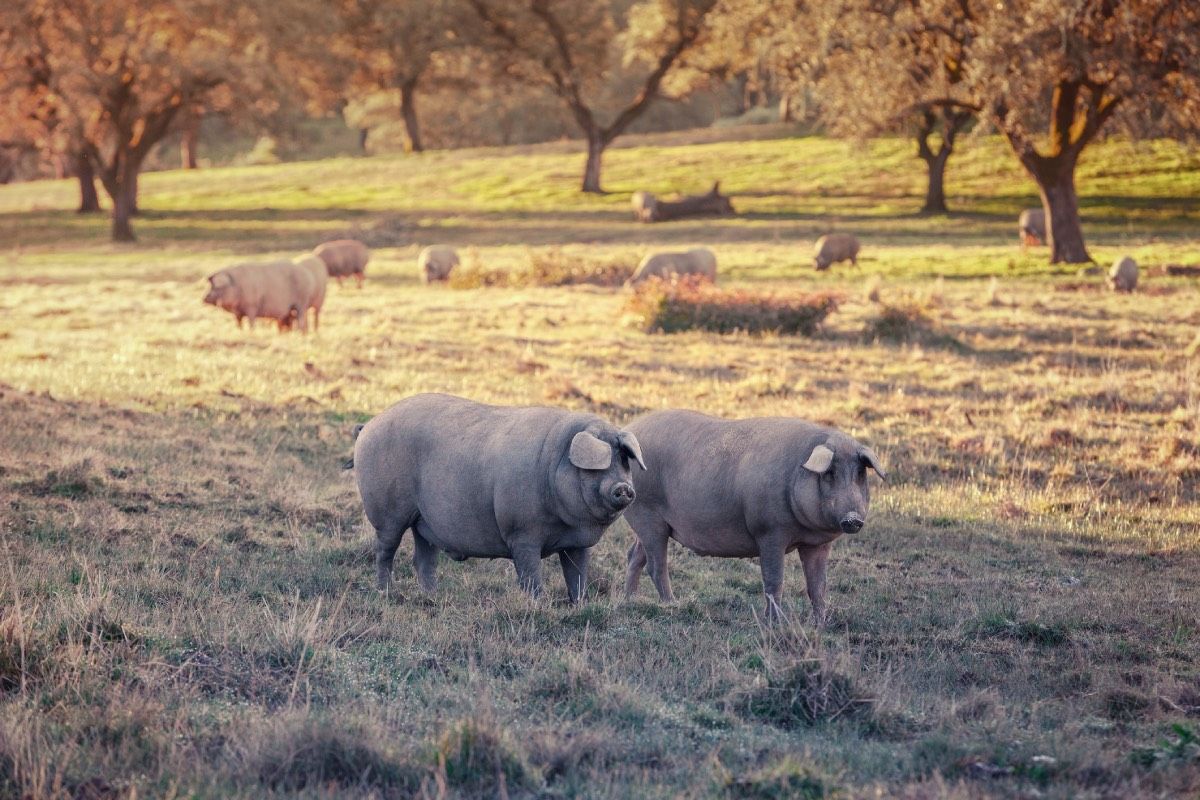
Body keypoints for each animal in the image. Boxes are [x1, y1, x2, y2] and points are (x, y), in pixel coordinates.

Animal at [352, 393, 646, 603]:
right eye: (596, 465)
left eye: (624, 460)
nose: (623, 488)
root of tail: (369, 425)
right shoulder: (522, 532)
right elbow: (530, 574)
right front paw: (538, 604)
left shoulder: (577, 544)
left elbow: (577, 575)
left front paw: (580, 604)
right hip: (387, 512)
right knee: (385, 550)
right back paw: (386, 593)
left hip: (424, 521)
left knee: (423, 559)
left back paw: (432, 597)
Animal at [622, 410, 885, 624]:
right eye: (829, 473)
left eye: (860, 473)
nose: (853, 518)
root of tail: (630, 430)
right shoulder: (769, 531)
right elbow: (774, 580)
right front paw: (776, 623)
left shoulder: (818, 544)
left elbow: (818, 586)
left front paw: (820, 624)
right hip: (647, 515)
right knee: (656, 565)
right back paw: (671, 604)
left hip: (651, 523)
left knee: (634, 556)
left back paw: (629, 601)